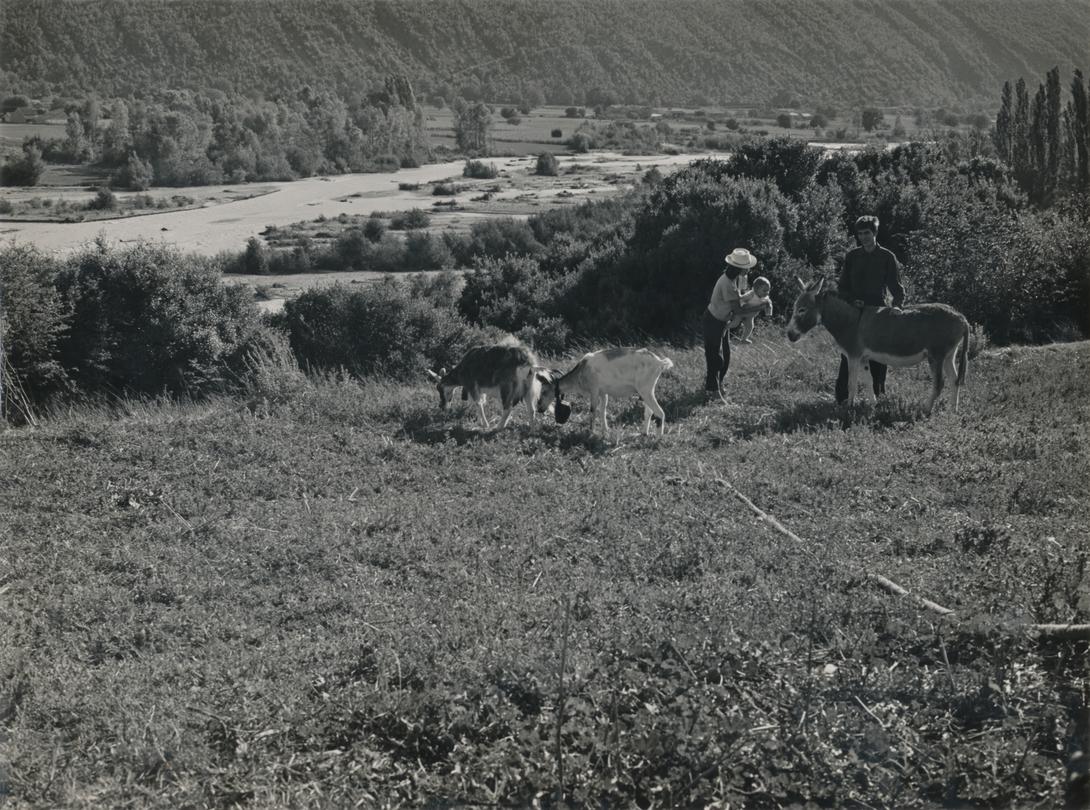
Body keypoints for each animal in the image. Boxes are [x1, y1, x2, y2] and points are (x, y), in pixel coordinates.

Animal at [425, 337, 558, 431]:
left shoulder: (471, 384)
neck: (462, 369)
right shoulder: (478, 389)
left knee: (508, 408)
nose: (442, 406)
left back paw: (498, 427)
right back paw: (532, 430)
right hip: (529, 388)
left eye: (440, 388)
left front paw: (485, 424)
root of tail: (528, 363)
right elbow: (477, 403)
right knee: (531, 409)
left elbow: (478, 403)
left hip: (506, 387)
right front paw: (479, 422)